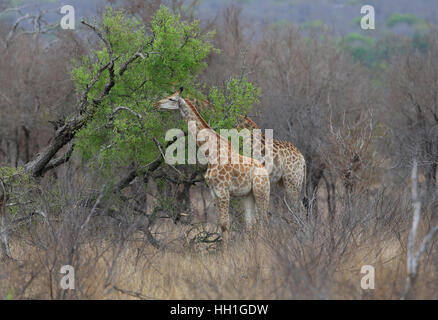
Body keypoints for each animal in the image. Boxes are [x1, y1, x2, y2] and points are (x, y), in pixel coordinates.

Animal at [154, 89, 270, 246]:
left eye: (172, 99)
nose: (156, 104)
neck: (211, 152)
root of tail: (265, 170)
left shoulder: (223, 190)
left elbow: (226, 224)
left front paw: (226, 252)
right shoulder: (213, 191)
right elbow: (221, 225)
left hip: (261, 191)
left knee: (263, 221)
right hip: (248, 196)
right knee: (251, 224)